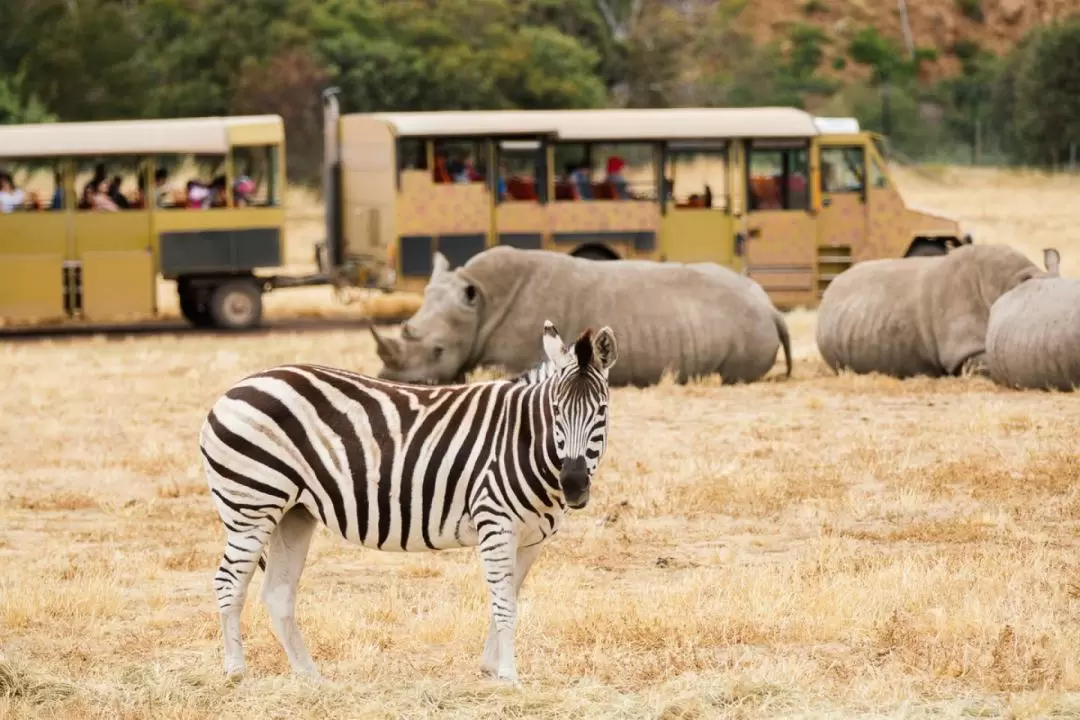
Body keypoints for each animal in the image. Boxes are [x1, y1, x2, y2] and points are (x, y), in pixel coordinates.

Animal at [200, 319, 617, 682]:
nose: (574, 484)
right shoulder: (495, 523)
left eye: (602, 411)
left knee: (277, 592)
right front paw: (509, 677)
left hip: (293, 513)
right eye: (556, 411)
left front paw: (490, 668)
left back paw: (310, 677)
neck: (525, 441)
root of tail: (232, 391)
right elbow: (504, 605)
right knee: (228, 583)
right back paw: (236, 672)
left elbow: (508, 598)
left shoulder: (530, 539)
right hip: (252, 505)